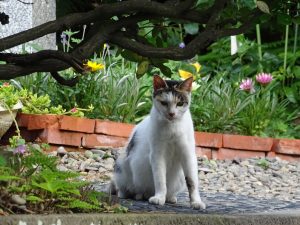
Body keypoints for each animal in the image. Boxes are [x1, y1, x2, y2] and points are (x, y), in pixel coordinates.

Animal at [110, 75, 206, 209]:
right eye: (164, 103)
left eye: (180, 103)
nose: (171, 113)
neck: (172, 128)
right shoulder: (157, 155)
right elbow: (160, 179)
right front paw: (159, 197)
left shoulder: (188, 154)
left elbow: (192, 181)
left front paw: (196, 202)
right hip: (121, 164)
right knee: (123, 188)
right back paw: (135, 194)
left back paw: (169, 197)